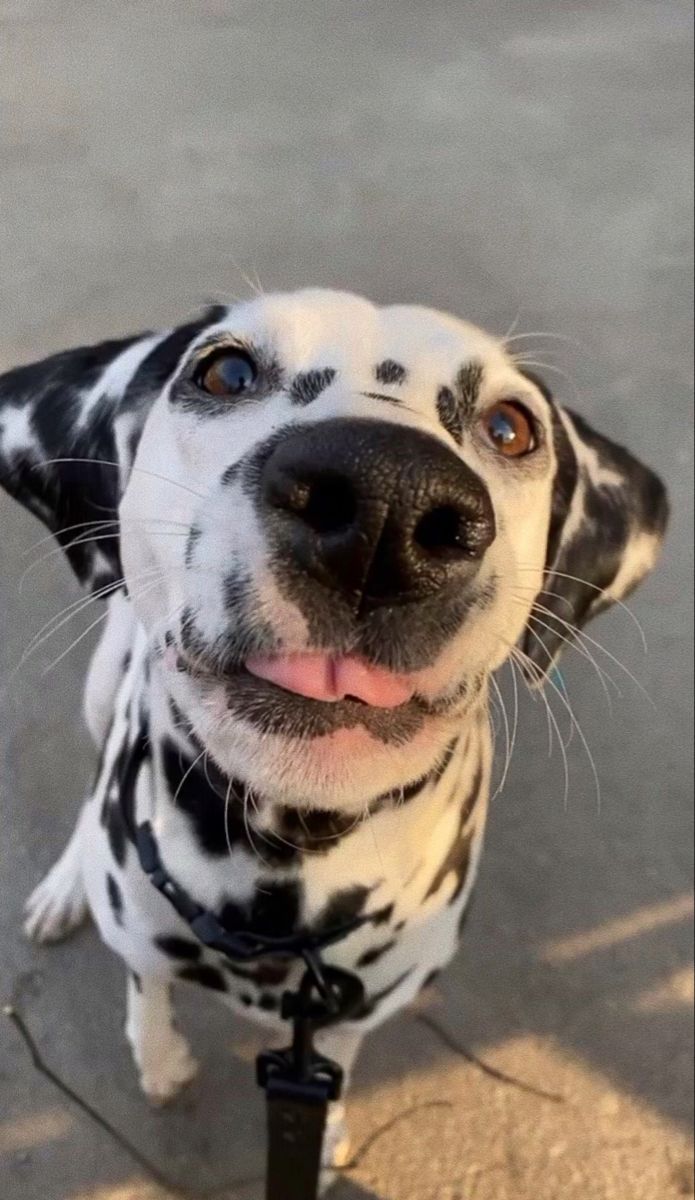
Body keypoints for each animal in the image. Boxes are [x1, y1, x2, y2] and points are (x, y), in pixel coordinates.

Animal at [0, 292, 667, 1190]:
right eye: (224, 370)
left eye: (508, 427)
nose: (386, 499)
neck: (284, 883)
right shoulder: (143, 931)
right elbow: (148, 988)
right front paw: (160, 1058)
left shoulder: (355, 1014)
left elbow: (340, 1067)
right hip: (103, 684)